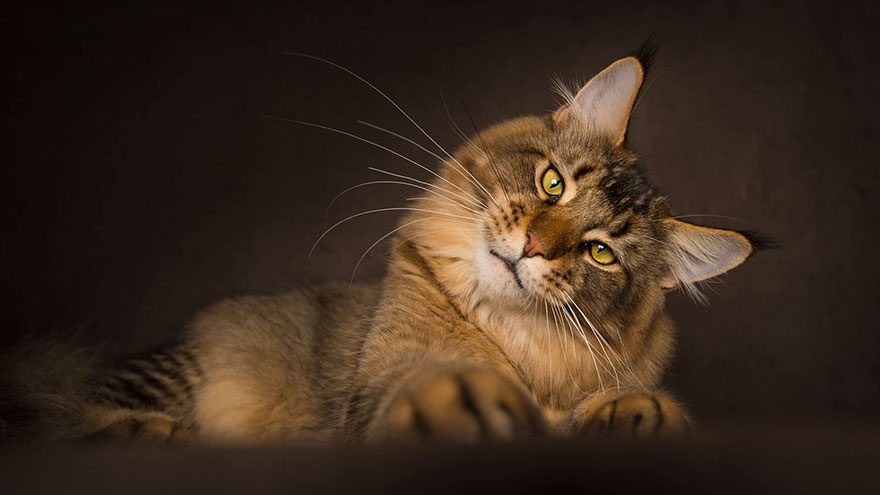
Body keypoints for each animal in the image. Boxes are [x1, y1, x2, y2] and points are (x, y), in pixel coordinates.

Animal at [0, 44, 760, 444]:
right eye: (552, 184)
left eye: (600, 252)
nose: (536, 248)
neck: (508, 337)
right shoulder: (381, 374)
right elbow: (420, 383)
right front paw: (456, 400)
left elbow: (599, 407)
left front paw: (633, 412)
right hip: (181, 367)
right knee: (59, 412)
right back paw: (150, 431)